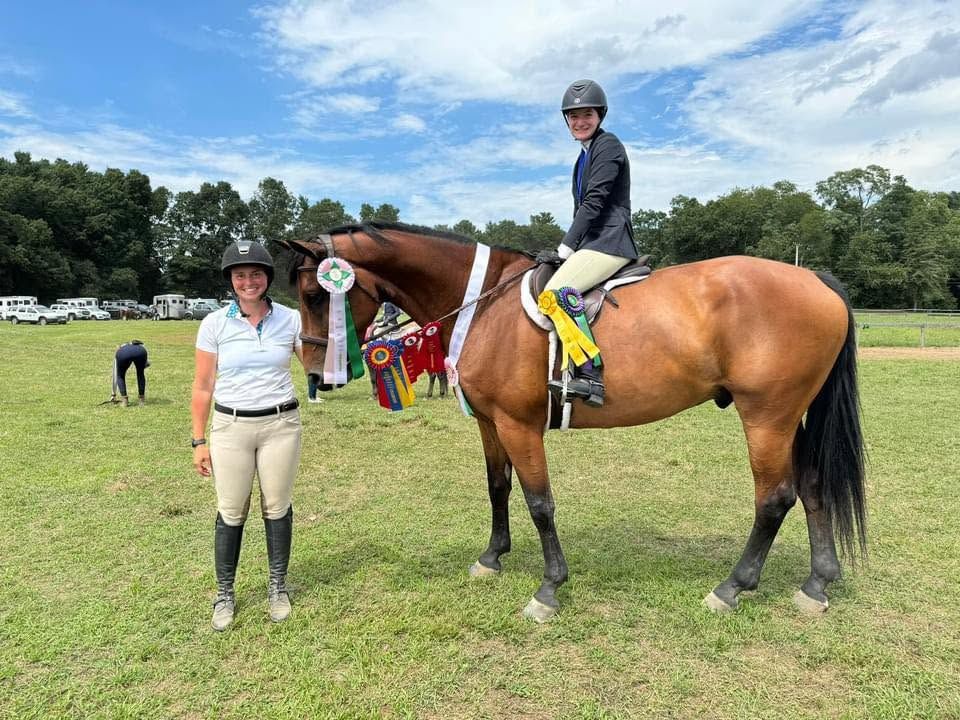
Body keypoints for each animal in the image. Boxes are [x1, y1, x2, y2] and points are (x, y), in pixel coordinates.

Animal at [285, 222, 866, 622]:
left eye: (316, 294)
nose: (315, 373)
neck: (484, 304)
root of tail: (814, 279)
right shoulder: (490, 423)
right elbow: (498, 487)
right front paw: (491, 558)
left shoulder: (518, 425)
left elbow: (539, 502)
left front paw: (548, 589)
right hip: (790, 417)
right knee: (813, 487)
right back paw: (817, 585)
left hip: (766, 416)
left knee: (775, 498)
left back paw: (732, 587)